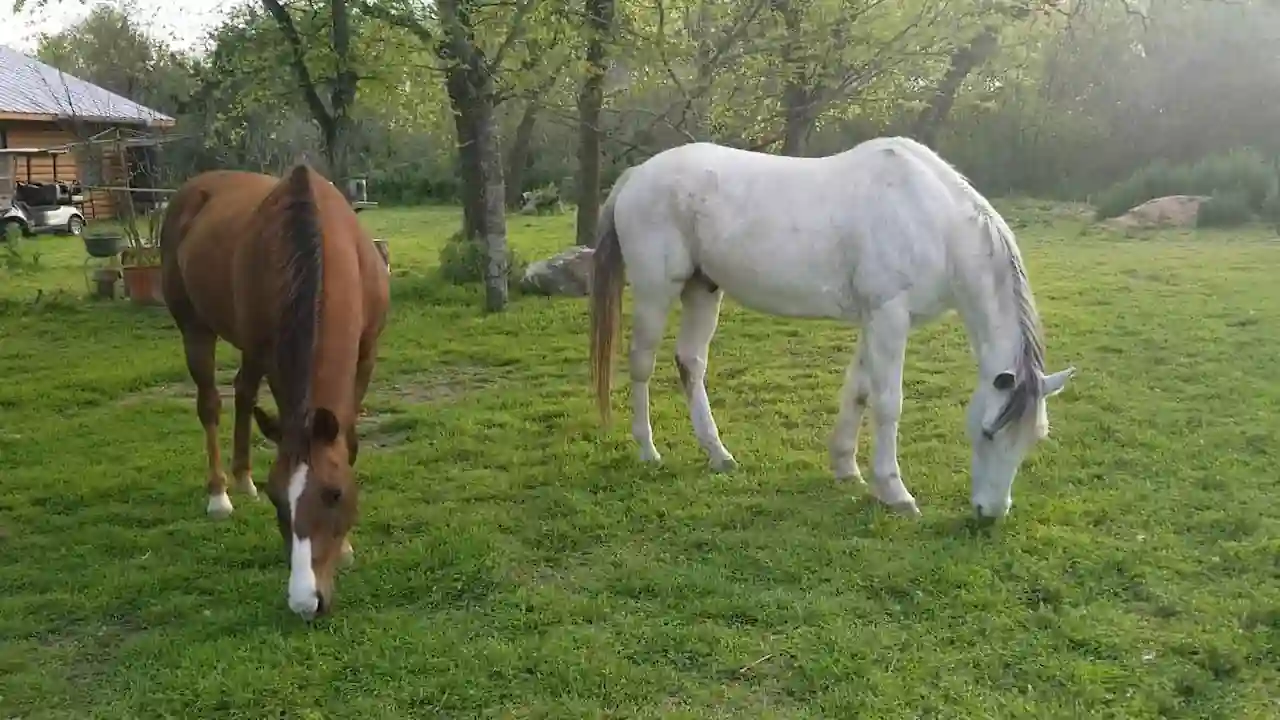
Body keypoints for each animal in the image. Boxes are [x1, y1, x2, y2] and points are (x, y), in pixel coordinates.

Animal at [160, 164, 390, 619]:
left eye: (334, 494)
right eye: (277, 498)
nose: (307, 602)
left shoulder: (366, 355)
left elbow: (349, 443)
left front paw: (347, 547)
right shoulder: (272, 355)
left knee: (243, 393)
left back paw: (242, 478)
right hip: (197, 328)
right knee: (211, 404)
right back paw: (220, 494)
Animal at [588, 136, 1075, 519]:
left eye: (1034, 439)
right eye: (989, 432)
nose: (990, 514)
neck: (934, 223)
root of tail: (637, 174)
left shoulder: (877, 320)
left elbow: (858, 391)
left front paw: (847, 469)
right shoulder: (889, 316)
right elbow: (888, 403)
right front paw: (895, 492)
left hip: (703, 289)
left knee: (690, 362)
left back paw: (718, 455)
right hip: (656, 290)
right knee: (642, 364)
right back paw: (648, 450)